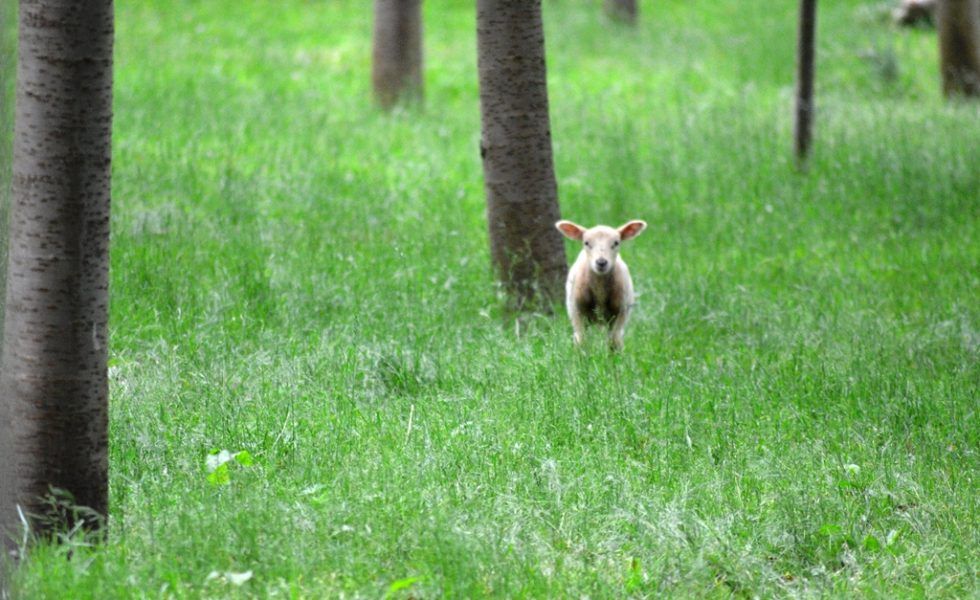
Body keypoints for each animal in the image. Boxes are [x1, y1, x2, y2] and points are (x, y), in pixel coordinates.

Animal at [556, 220, 648, 352]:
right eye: (586, 243)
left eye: (616, 243)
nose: (601, 262)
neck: (600, 291)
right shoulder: (577, 310)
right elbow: (581, 340)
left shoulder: (621, 311)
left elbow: (614, 340)